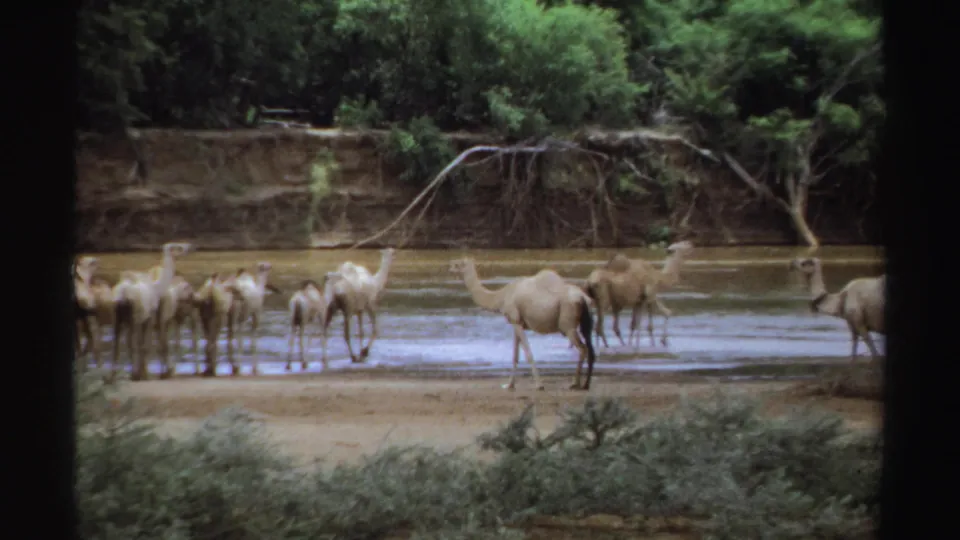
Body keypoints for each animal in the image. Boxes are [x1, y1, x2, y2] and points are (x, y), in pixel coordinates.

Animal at [111, 242, 192, 380]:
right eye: (178, 247)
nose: (190, 247)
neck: (156, 287)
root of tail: (123, 293)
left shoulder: (144, 317)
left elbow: (143, 344)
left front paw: (143, 373)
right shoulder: (149, 315)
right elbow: (144, 345)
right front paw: (143, 374)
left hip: (118, 315)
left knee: (116, 342)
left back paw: (112, 377)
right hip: (134, 315)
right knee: (131, 343)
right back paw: (133, 374)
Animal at [449, 257, 597, 391]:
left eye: (457, 264)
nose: (450, 268)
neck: (501, 297)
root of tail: (583, 298)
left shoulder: (515, 320)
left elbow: (528, 354)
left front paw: (539, 385)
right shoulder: (517, 323)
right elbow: (515, 356)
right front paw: (509, 385)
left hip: (568, 324)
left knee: (582, 348)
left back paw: (574, 383)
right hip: (584, 321)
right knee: (590, 349)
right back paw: (585, 384)